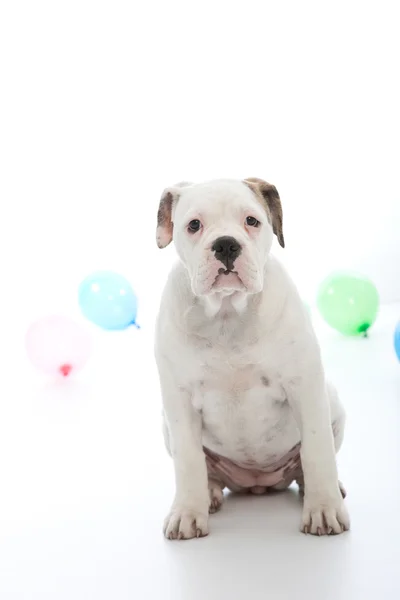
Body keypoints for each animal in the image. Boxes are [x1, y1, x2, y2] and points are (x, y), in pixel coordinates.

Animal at [155, 177, 348, 540]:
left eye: (251, 221)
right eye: (194, 225)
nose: (226, 245)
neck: (228, 313)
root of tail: (256, 482)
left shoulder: (305, 386)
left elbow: (317, 450)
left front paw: (324, 509)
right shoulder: (179, 401)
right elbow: (189, 461)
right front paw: (187, 513)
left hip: (332, 401)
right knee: (207, 471)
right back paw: (209, 495)